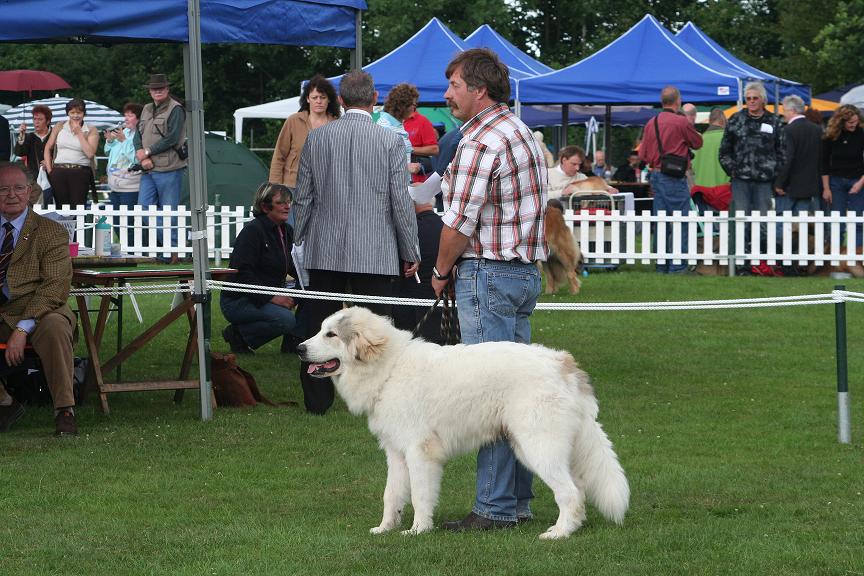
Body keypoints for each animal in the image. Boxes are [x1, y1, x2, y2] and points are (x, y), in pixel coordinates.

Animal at [296, 308, 628, 536]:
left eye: (331, 335)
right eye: (321, 330)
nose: (299, 348)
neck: (388, 368)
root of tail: (564, 364)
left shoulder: (419, 453)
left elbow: (419, 495)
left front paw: (418, 530)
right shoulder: (397, 453)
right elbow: (392, 495)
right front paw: (385, 529)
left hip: (539, 447)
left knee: (570, 493)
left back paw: (559, 534)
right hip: (534, 447)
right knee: (579, 489)